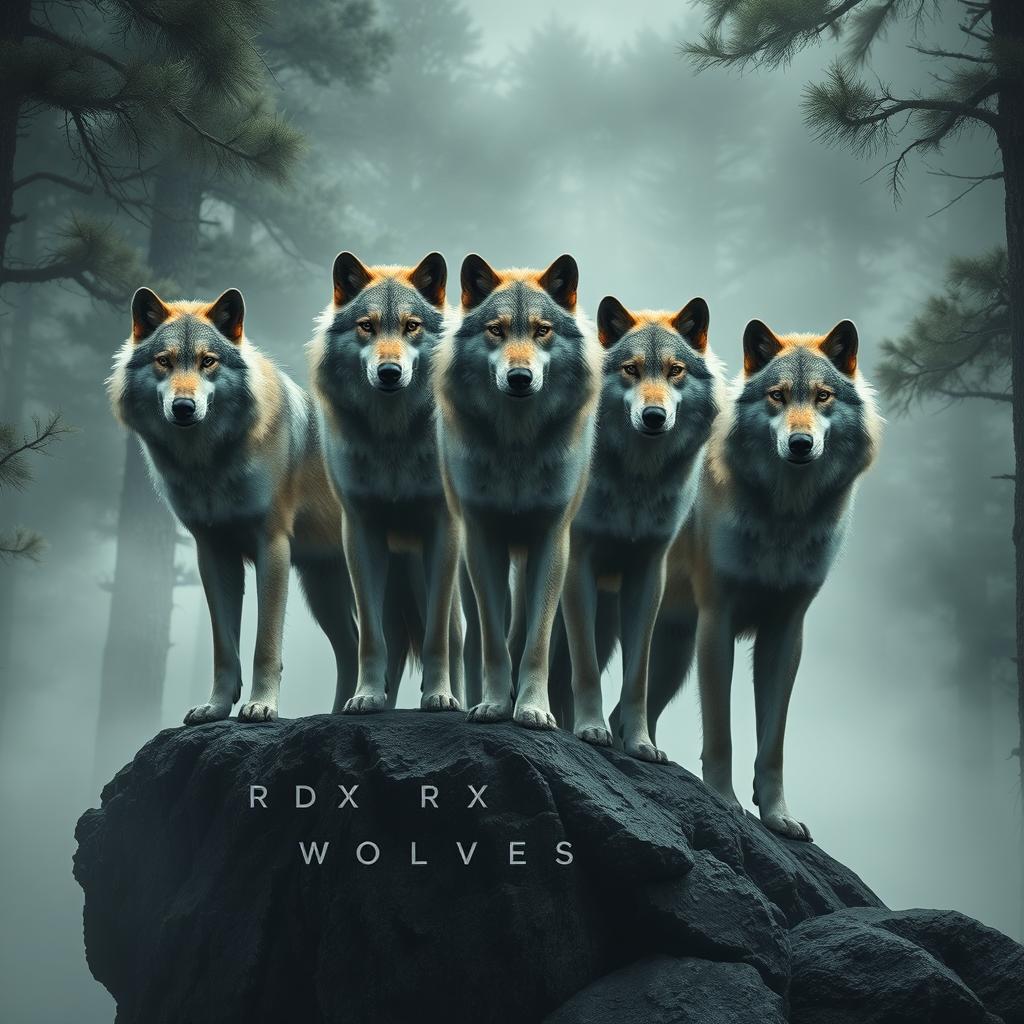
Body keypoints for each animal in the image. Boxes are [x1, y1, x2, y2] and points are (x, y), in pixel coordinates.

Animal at [109, 287, 357, 724]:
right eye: (164, 361)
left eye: (208, 361)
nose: (184, 407)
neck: (207, 465)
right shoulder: (213, 552)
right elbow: (224, 648)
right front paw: (216, 707)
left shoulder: (272, 546)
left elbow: (265, 645)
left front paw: (260, 705)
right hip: (326, 592)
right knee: (358, 648)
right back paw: (349, 710)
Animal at [310, 252, 463, 713]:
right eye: (367, 326)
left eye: (411, 325)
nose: (390, 372)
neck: (393, 440)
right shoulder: (360, 533)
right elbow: (371, 641)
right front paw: (365, 697)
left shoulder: (442, 529)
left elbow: (436, 638)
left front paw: (439, 696)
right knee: (391, 641)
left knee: (458, 639)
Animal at [435, 254, 603, 729]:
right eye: (497, 329)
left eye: (542, 330)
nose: (520, 377)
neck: (516, 449)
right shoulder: (482, 537)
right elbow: (493, 643)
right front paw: (494, 705)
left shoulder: (552, 539)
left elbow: (535, 645)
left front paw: (532, 709)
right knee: (477, 637)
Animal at [554, 295, 720, 762]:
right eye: (631, 369)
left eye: (675, 370)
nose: (654, 416)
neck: (636, 482)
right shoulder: (578, 564)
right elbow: (587, 669)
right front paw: (589, 730)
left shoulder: (648, 575)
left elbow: (636, 679)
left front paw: (640, 744)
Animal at [646, 318, 881, 839]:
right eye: (777, 395)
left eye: (822, 396)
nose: (800, 444)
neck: (784, 519)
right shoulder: (717, 621)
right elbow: (721, 734)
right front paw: (724, 800)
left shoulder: (785, 631)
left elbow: (773, 744)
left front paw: (778, 817)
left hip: (669, 656)